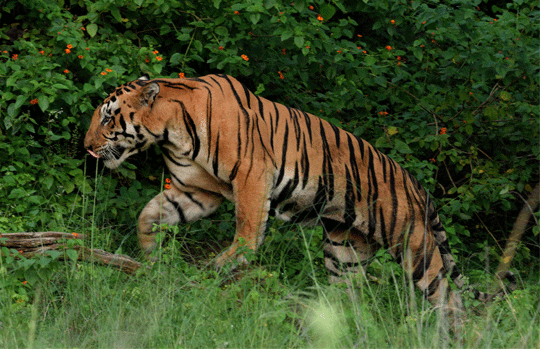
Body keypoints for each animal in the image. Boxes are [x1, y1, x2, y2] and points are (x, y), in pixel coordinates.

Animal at [83, 75, 516, 314]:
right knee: (348, 294)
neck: (170, 132)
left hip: (414, 245)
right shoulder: (197, 191)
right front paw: (151, 259)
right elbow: (148, 215)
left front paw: (214, 269)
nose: (86, 147)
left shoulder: (252, 176)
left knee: (448, 296)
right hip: (345, 251)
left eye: (107, 116)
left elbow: (246, 233)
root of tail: (418, 185)